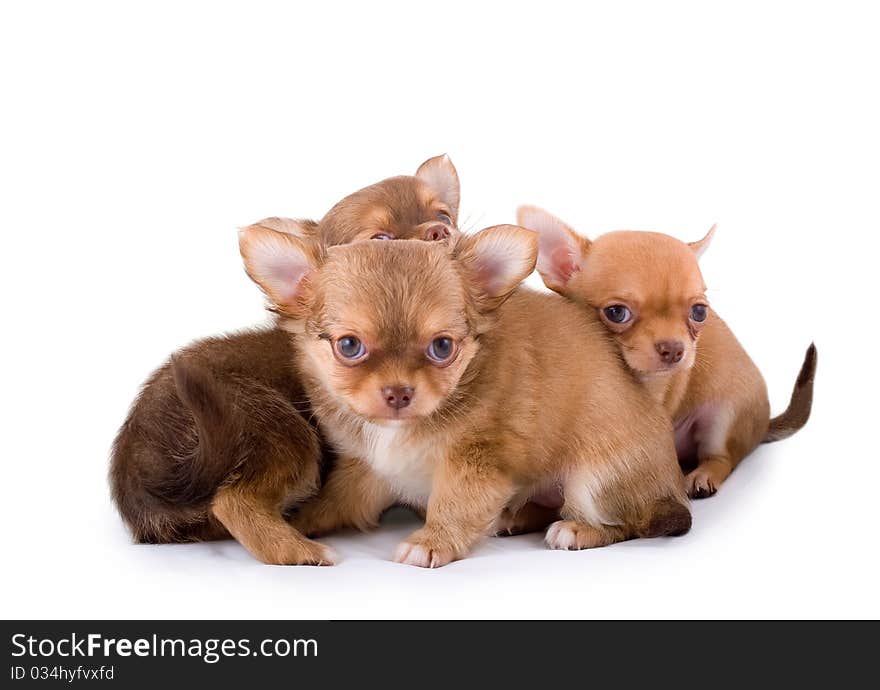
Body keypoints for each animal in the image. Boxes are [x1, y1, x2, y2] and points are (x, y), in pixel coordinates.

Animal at [110, 153, 460, 560]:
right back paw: (300, 550)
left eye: (445, 216)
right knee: (234, 500)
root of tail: (134, 464)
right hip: (278, 426)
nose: (440, 231)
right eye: (381, 241)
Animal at [237, 223, 692, 568]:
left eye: (442, 347)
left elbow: (454, 504)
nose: (399, 392)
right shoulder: (371, 469)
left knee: (637, 519)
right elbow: (339, 499)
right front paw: (301, 522)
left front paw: (431, 542)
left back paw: (578, 529)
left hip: (597, 479)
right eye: (349, 346)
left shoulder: (476, 463)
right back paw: (514, 517)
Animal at [520, 207, 816, 498]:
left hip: (724, 416)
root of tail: (764, 423)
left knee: (722, 458)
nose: (674, 349)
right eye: (616, 312)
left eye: (699, 312)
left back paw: (703, 475)